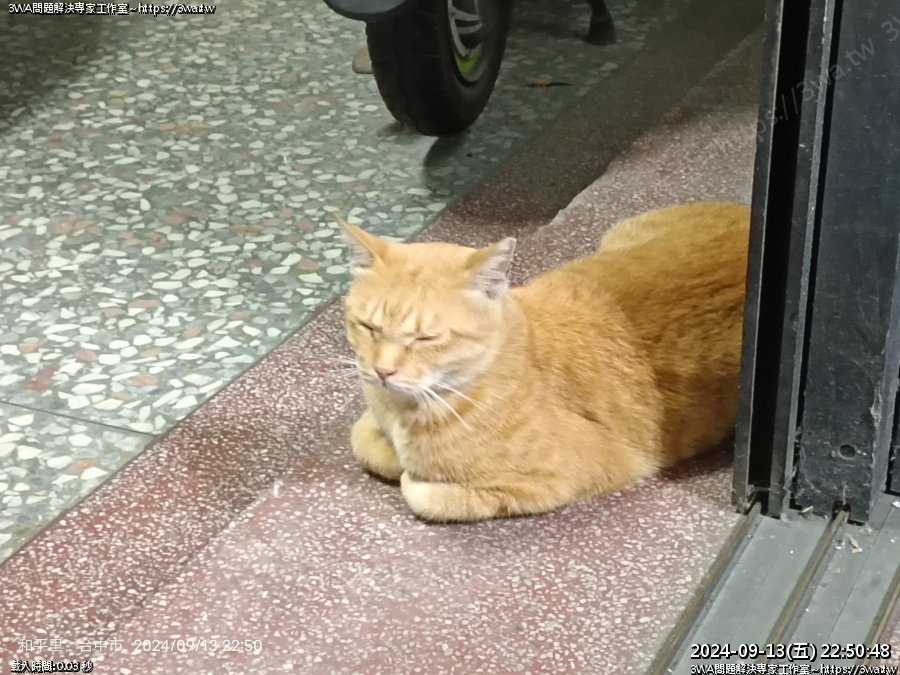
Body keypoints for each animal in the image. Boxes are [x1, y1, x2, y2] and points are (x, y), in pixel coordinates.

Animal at [338, 201, 750, 522]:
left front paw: (411, 472)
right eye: (368, 326)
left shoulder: (566, 475)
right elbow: (362, 439)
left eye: (426, 338)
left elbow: (426, 494)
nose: (383, 370)